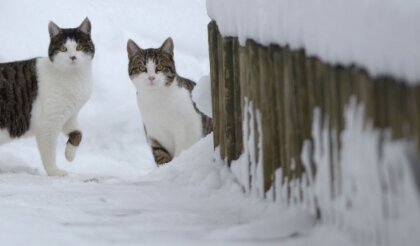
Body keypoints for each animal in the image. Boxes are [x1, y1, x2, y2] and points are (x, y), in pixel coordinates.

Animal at [0, 18, 95, 176]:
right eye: (63, 49)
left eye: (80, 47)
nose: (73, 57)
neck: (74, 78)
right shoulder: (49, 123)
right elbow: (49, 153)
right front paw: (54, 171)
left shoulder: (69, 116)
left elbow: (78, 133)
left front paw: (70, 153)